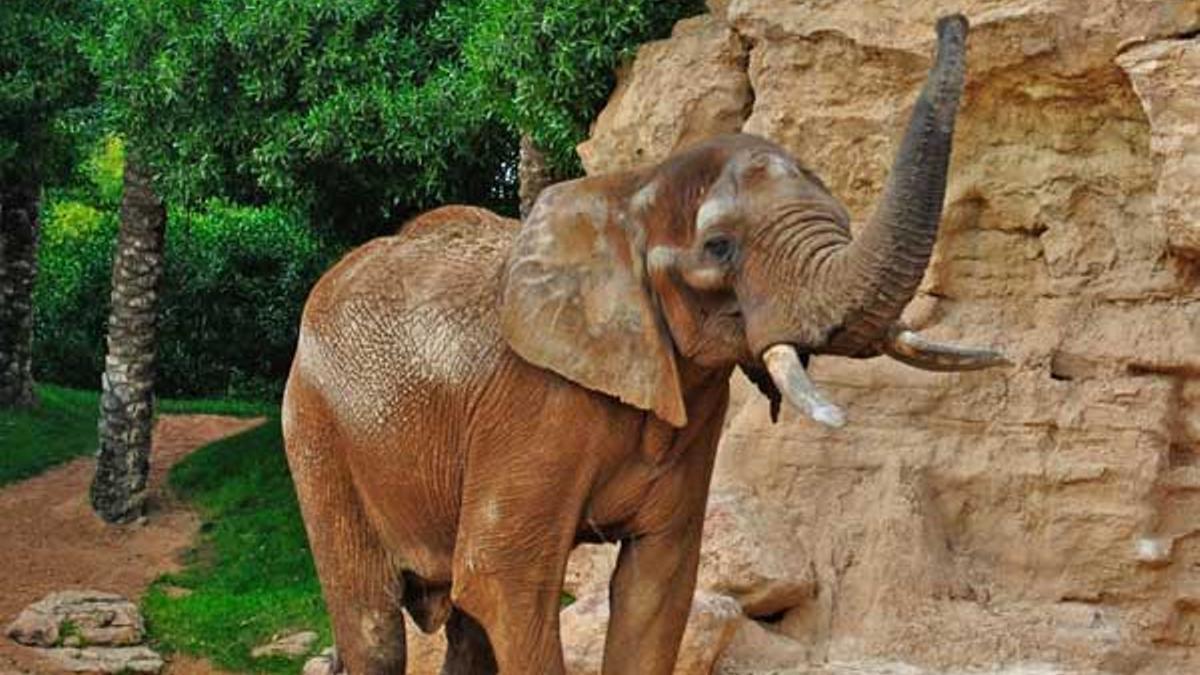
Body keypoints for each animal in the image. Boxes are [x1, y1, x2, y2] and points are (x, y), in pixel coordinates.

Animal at [283, 14, 1003, 672]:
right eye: (718, 247)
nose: (952, 21)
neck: (633, 191)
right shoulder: (532, 402)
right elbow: (503, 582)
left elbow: (658, 584)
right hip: (318, 435)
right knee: (375, 626)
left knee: (461, 629)